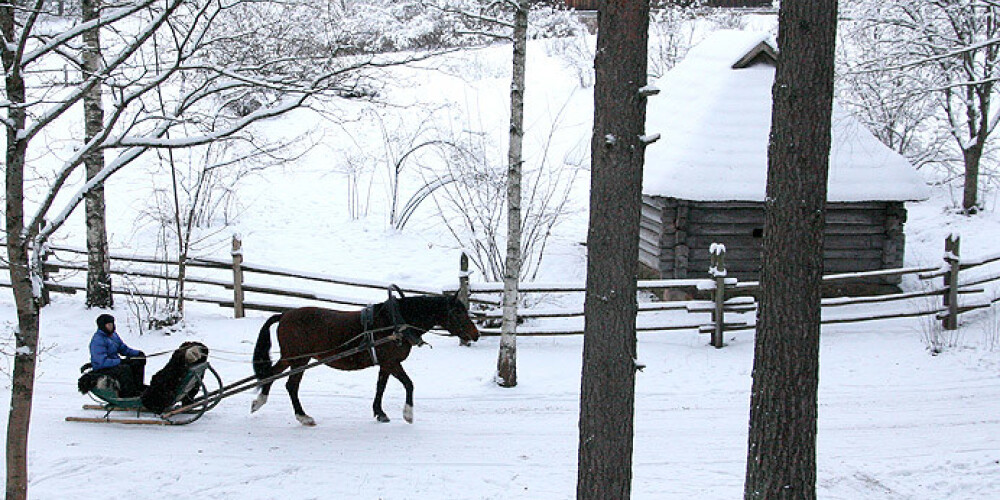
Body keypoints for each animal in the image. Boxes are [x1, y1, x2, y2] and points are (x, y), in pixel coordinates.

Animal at [248, 292, 478, 426]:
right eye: (458, 312)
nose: (476, 334)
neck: (394, 323)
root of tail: (284, 315)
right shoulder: (392, 362)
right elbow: (409, 384)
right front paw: (408, 414)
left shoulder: (386, 364)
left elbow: (380, 387)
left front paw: (380, 412)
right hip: (298, 360)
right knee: (291, 386)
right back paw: (303, 416)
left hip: (291, 358)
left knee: (271, 374)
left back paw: (259, 401)